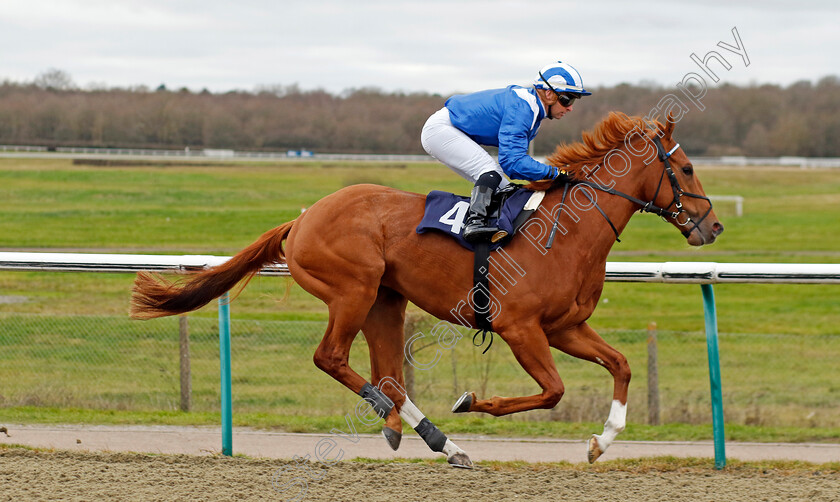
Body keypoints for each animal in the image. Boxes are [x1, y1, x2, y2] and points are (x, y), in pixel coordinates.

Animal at [131, 113, 720, 466]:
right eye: (688, 167)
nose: (711, 226)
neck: (568, 232)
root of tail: (301, 220)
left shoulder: (565, 326)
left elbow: (620, 364)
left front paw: (603, 440)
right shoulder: (520, 327)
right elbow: (552, 390)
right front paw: (471, 399)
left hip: (386, 301)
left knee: (390, 376)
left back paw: (438, 440)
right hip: (353, 290)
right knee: (334, 359)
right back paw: (394, 415)